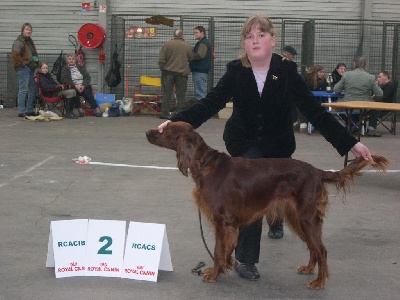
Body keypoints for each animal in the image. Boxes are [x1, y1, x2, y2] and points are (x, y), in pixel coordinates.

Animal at [146, 121, 388, 288]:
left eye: (166, 130)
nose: (148, 132)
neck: (205, 164)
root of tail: (318, 172)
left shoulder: (223, 221)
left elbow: (217, 250)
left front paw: (214, 274)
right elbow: (224, 251)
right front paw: (222, 268)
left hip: (306, 217)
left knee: (322, 249)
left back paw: (319, 282)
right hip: (297, 217)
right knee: (314, 247)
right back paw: (309, 269)